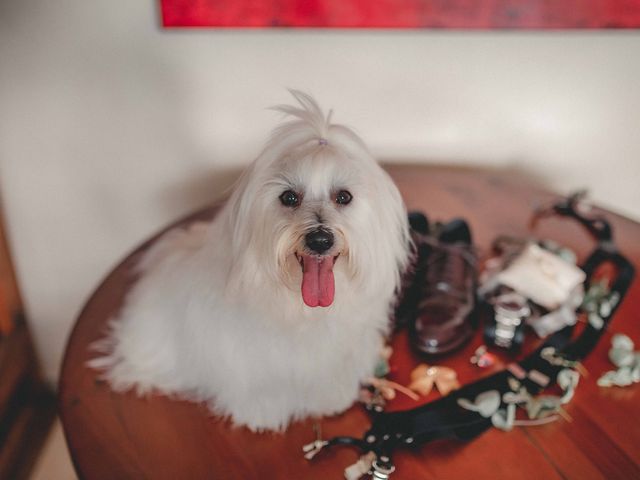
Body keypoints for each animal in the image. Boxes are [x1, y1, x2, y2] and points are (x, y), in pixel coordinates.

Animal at [90, 91, 410, 432]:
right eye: (289, 197)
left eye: (344, 197)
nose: (320, 239)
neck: (300, 309)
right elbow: (259, 386)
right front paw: (264, 415)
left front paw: (330, 399)